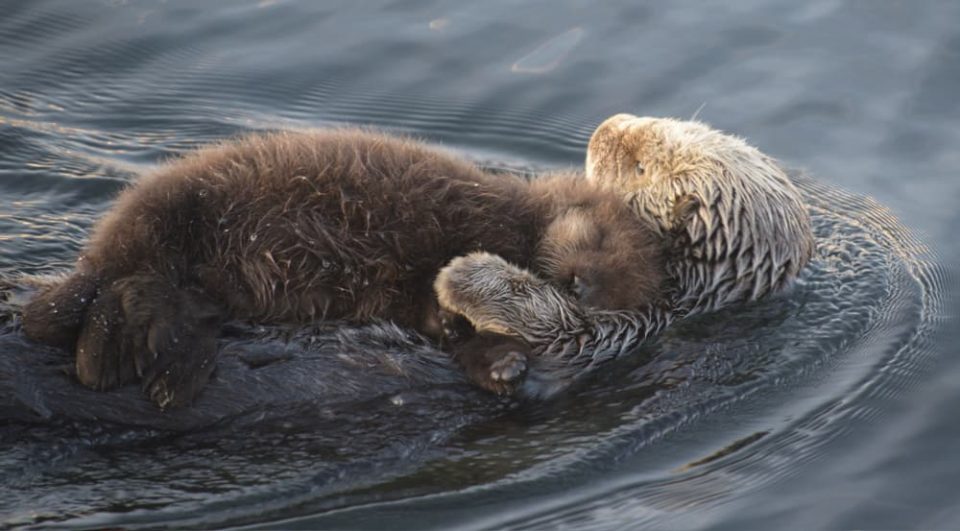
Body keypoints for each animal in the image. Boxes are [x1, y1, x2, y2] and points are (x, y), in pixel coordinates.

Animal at [22, 129, 668, 408]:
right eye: (598, 238)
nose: (581, 284)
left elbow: (443, 325)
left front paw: (500, 362)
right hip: (168, 212)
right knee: (118, 281)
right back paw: (114, 356)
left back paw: (166, 369)